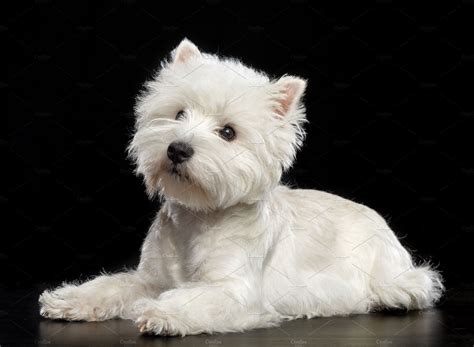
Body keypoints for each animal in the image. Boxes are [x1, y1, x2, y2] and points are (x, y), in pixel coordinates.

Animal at [39, 38, 442, 338]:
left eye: (228, 133)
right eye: (179, 114)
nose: (177, 149)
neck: (198, 218)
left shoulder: (235, 291)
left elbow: (194, 300)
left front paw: (160, 313)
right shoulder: (150, 278)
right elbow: (114, 286)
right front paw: (69, 300)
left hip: (391, 272)